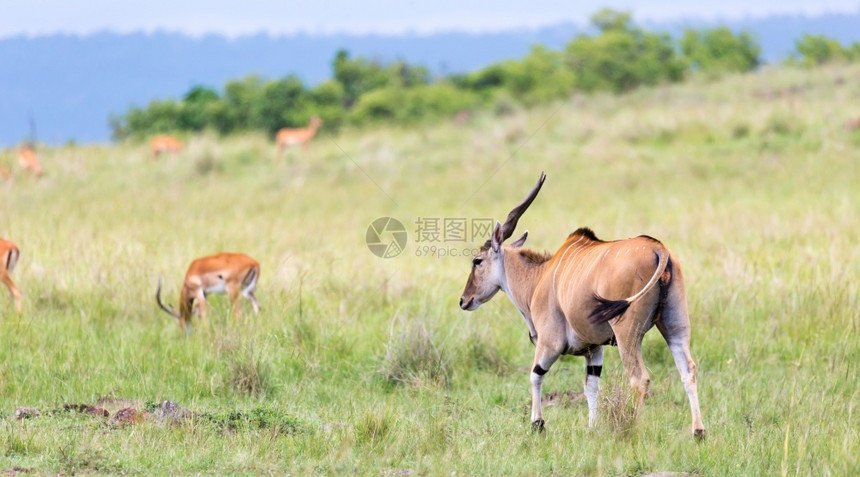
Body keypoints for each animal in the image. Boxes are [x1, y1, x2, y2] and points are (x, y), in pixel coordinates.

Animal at [460, 173, 704, 436]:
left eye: (477, 261)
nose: (464, 300)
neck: (539, 277)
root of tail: (660, 249)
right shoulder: (593, 349)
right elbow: (591, 386)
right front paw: (592, 428)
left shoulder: (550, 342)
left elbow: (535, 375)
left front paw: (537, 423)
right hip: (675, 327)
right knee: (688, 370)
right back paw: (698, 432)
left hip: (628, 334)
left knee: (640, 379)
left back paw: (633, 429)